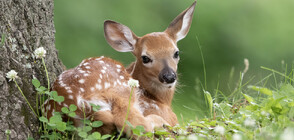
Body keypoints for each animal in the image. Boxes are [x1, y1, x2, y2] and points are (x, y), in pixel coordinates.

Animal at [42, 0, 196, 137]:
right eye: (145, 58)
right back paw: (159, 123)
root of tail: (78, 102)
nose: (169, 76)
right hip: (122, 90)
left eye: (176, 53)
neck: (158, 99)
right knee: (135, 125)